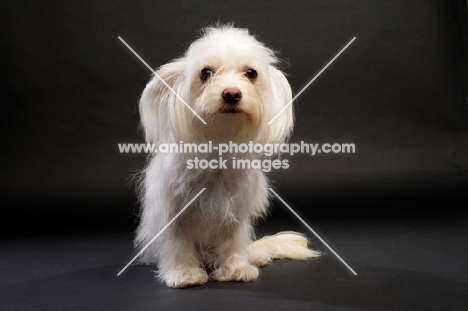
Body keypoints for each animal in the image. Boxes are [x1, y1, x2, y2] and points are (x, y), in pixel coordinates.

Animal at [133, 25, 320, 288]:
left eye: (251, 73)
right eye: (205, 73)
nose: (231, 93)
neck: (218, 146)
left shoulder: (236, 212)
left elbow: (233, 241)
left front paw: (236, 269)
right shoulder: (174, 212)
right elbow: (178, 243)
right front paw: (184, 273)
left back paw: (254, 257)